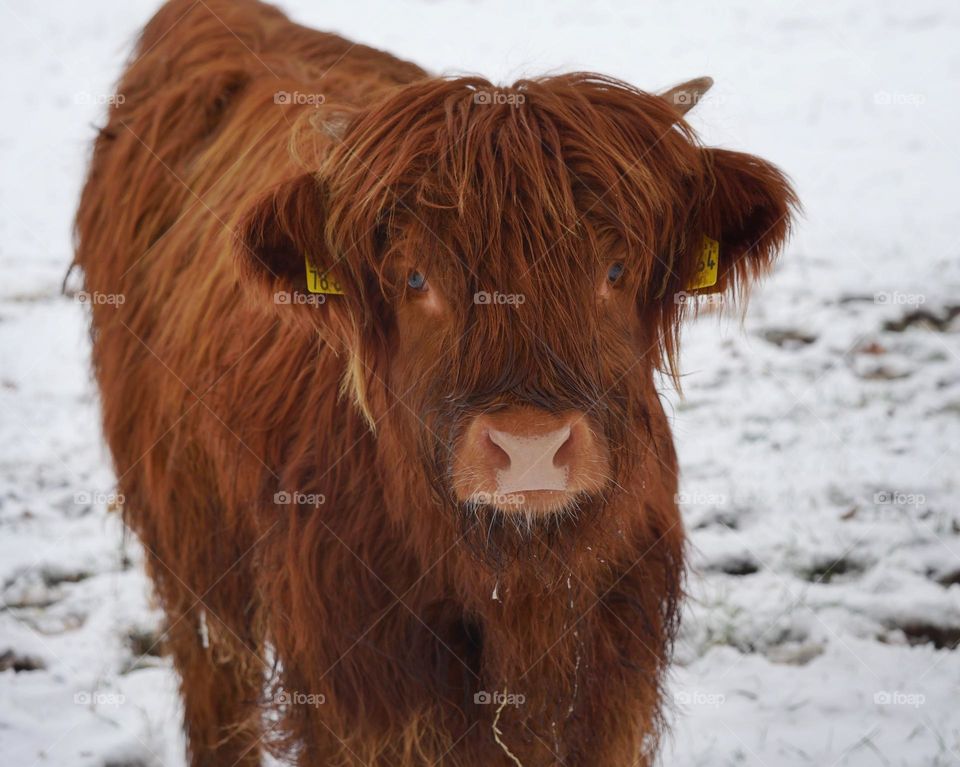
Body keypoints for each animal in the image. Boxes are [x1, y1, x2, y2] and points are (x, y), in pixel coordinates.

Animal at [73, 1, 797, 764]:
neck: (517, 587)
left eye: (617, 269)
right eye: (416, 278)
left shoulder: (610, 696)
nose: (531, 448)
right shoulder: (361, 705)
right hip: (188, 538)